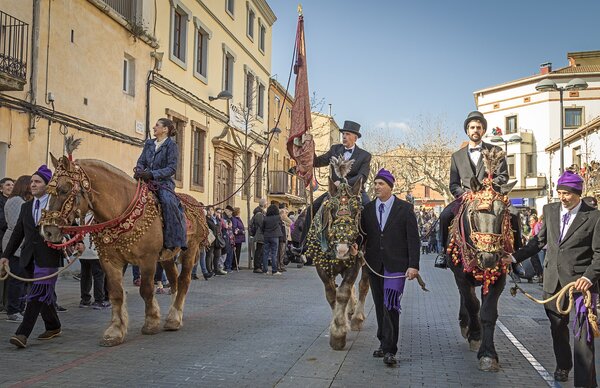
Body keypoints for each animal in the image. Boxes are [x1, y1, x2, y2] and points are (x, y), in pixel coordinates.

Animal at [40, 153, 209, 348]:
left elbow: (146, 290)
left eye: (65, 189)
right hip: (167, 256)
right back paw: (175, 314)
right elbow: (115, 293)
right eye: (49, 191)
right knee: (174, 280)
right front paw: (115, 331)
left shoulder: (147, 259)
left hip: (190, 250)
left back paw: (174, 318)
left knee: (183, 280)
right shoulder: (110, 261)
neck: (122, 211)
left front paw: (151, 322)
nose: (48, 231)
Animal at [304, 156, 370, 350]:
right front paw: (337, 325)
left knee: (363, 285)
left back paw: (357, 318)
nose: (343, 249)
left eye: (356, 210)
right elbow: (332, 294)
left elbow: (343, 293)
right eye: (331, 209)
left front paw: (339, 333)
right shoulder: (321, 266)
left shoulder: (354, 263)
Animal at [448, 150, 516, 372]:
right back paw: (466, 325)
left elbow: (488, 311)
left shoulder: (499, 276)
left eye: (503, 213)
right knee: (466, 297)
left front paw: (488, 354)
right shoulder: (461, 276)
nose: (488, 257)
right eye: (474, 213)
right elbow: (473, 304)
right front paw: (475, 335)